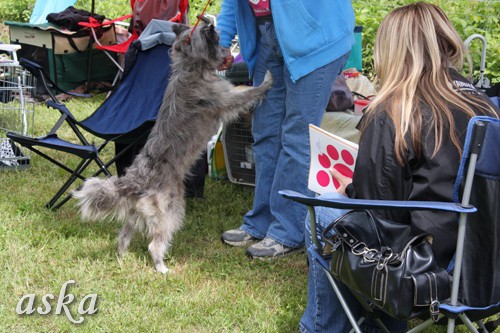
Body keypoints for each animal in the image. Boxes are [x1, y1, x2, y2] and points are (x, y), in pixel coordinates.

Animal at [72, 20, 272, 272]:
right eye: (219, 41)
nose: (229, 52)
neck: (190, 66)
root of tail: (136, 180)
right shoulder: (225, 99)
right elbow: (245, 94)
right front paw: (267, 81)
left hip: (136, 213)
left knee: (125, 233)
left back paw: (122, 256)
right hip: (170, 208)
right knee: (154, 243)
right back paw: (161, 266)